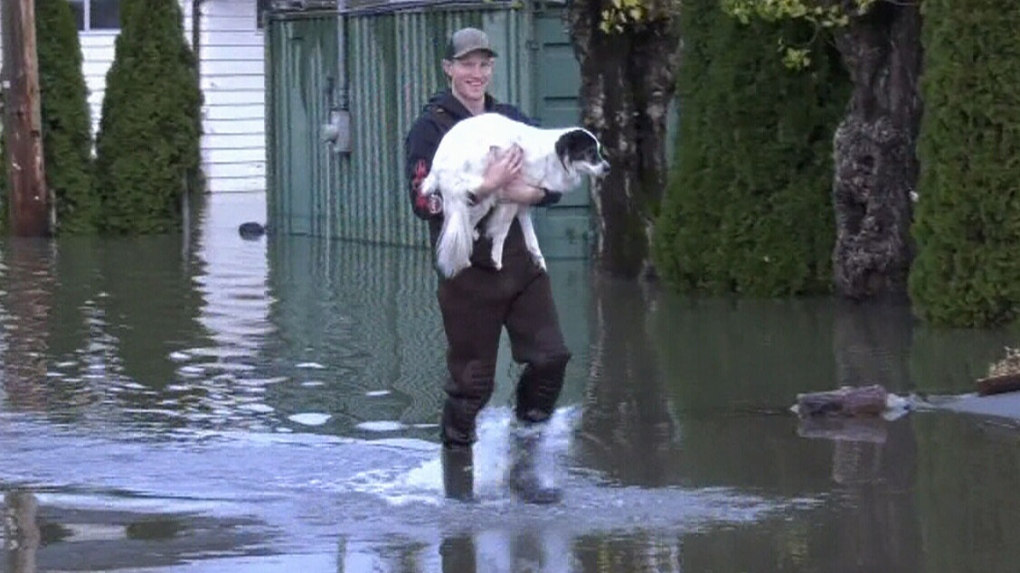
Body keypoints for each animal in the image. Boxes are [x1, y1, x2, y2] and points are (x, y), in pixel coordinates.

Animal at [418, 111, 607, 277]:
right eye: (590, 152)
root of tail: (438, 166)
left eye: (598, 150)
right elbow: (502, 230)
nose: (608, 167)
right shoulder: (510, 199)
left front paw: (539, 260)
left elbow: (531, 238)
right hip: (481, 189)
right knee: (464, 223)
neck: (554, 157)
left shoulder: (523, 202)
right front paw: (496, 258)